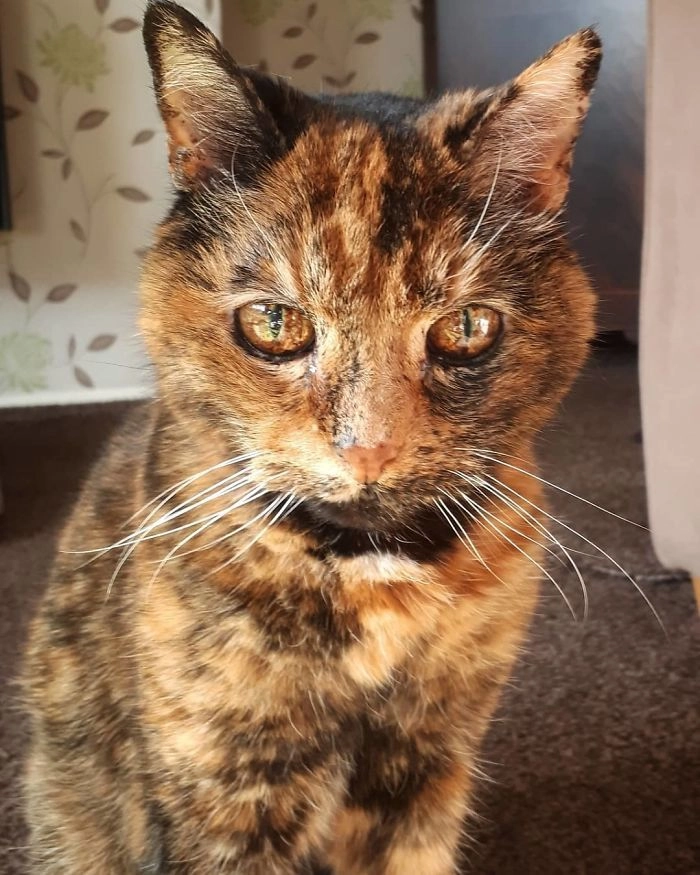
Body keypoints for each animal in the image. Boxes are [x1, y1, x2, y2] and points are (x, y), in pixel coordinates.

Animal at [22, 2, 601, 873]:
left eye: (468, 327)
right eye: (274, 323)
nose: (369, 448)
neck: (372, 570)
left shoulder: (426, 767)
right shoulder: (220, 790)